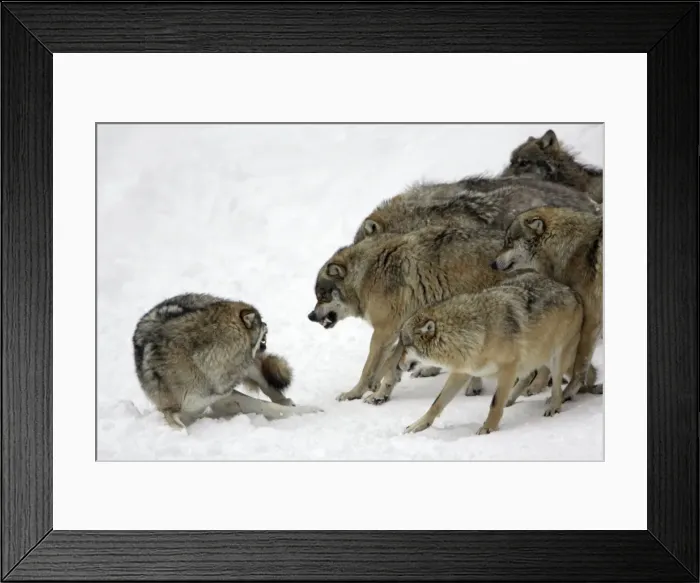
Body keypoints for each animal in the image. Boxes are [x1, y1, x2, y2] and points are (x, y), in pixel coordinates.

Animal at [132, 293, 321, 430]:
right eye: (261, 321)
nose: (267, 323)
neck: (199, 363)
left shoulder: (224, 394)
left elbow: (267, 406)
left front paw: (310, 410)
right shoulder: (179, 409)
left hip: (248, 366)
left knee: (268, 385)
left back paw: (286, 400)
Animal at [307, 226, 508, 403]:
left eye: (322, 296)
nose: (310, 316)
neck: (365, 276)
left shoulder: (383, 332)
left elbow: (368, 369)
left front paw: (354, 393)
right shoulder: (401, 333)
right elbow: (391, 367)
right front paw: (380, 395)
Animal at [392, 270, 583, 435]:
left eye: (405, 345)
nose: (398, 365)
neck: (477, 335)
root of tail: (572, 291)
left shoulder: (508, 368)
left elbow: (495, 403)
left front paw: (488, 429)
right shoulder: (462, 372)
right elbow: (437, 402)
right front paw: (418, 425)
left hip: (555, 360)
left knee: (557, 387)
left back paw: (553, 407)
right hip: (531, 358)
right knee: (529, 377)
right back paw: (511, 400)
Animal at [491, 207, 603, 402]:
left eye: (509, 242)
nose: (492, 264)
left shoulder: (590, 320)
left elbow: (579, 365)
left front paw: (566, 393)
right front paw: (536, 387)